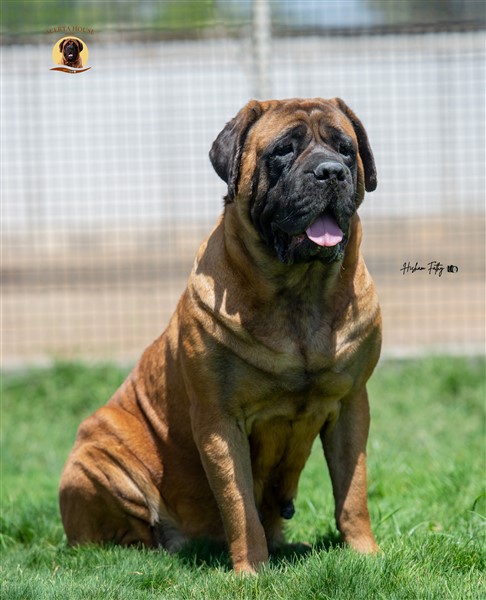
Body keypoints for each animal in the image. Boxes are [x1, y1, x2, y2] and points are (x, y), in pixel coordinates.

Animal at [59, 97, 381, 574]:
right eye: (283, 150)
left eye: (345, 149)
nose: (330, 172)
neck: (299, 294)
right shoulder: (219, 420)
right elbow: (239, 503)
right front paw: (252, 571)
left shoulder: (351, 405)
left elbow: (353, 491)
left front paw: (365, 554)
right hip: (96, 459)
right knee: (124, 536)